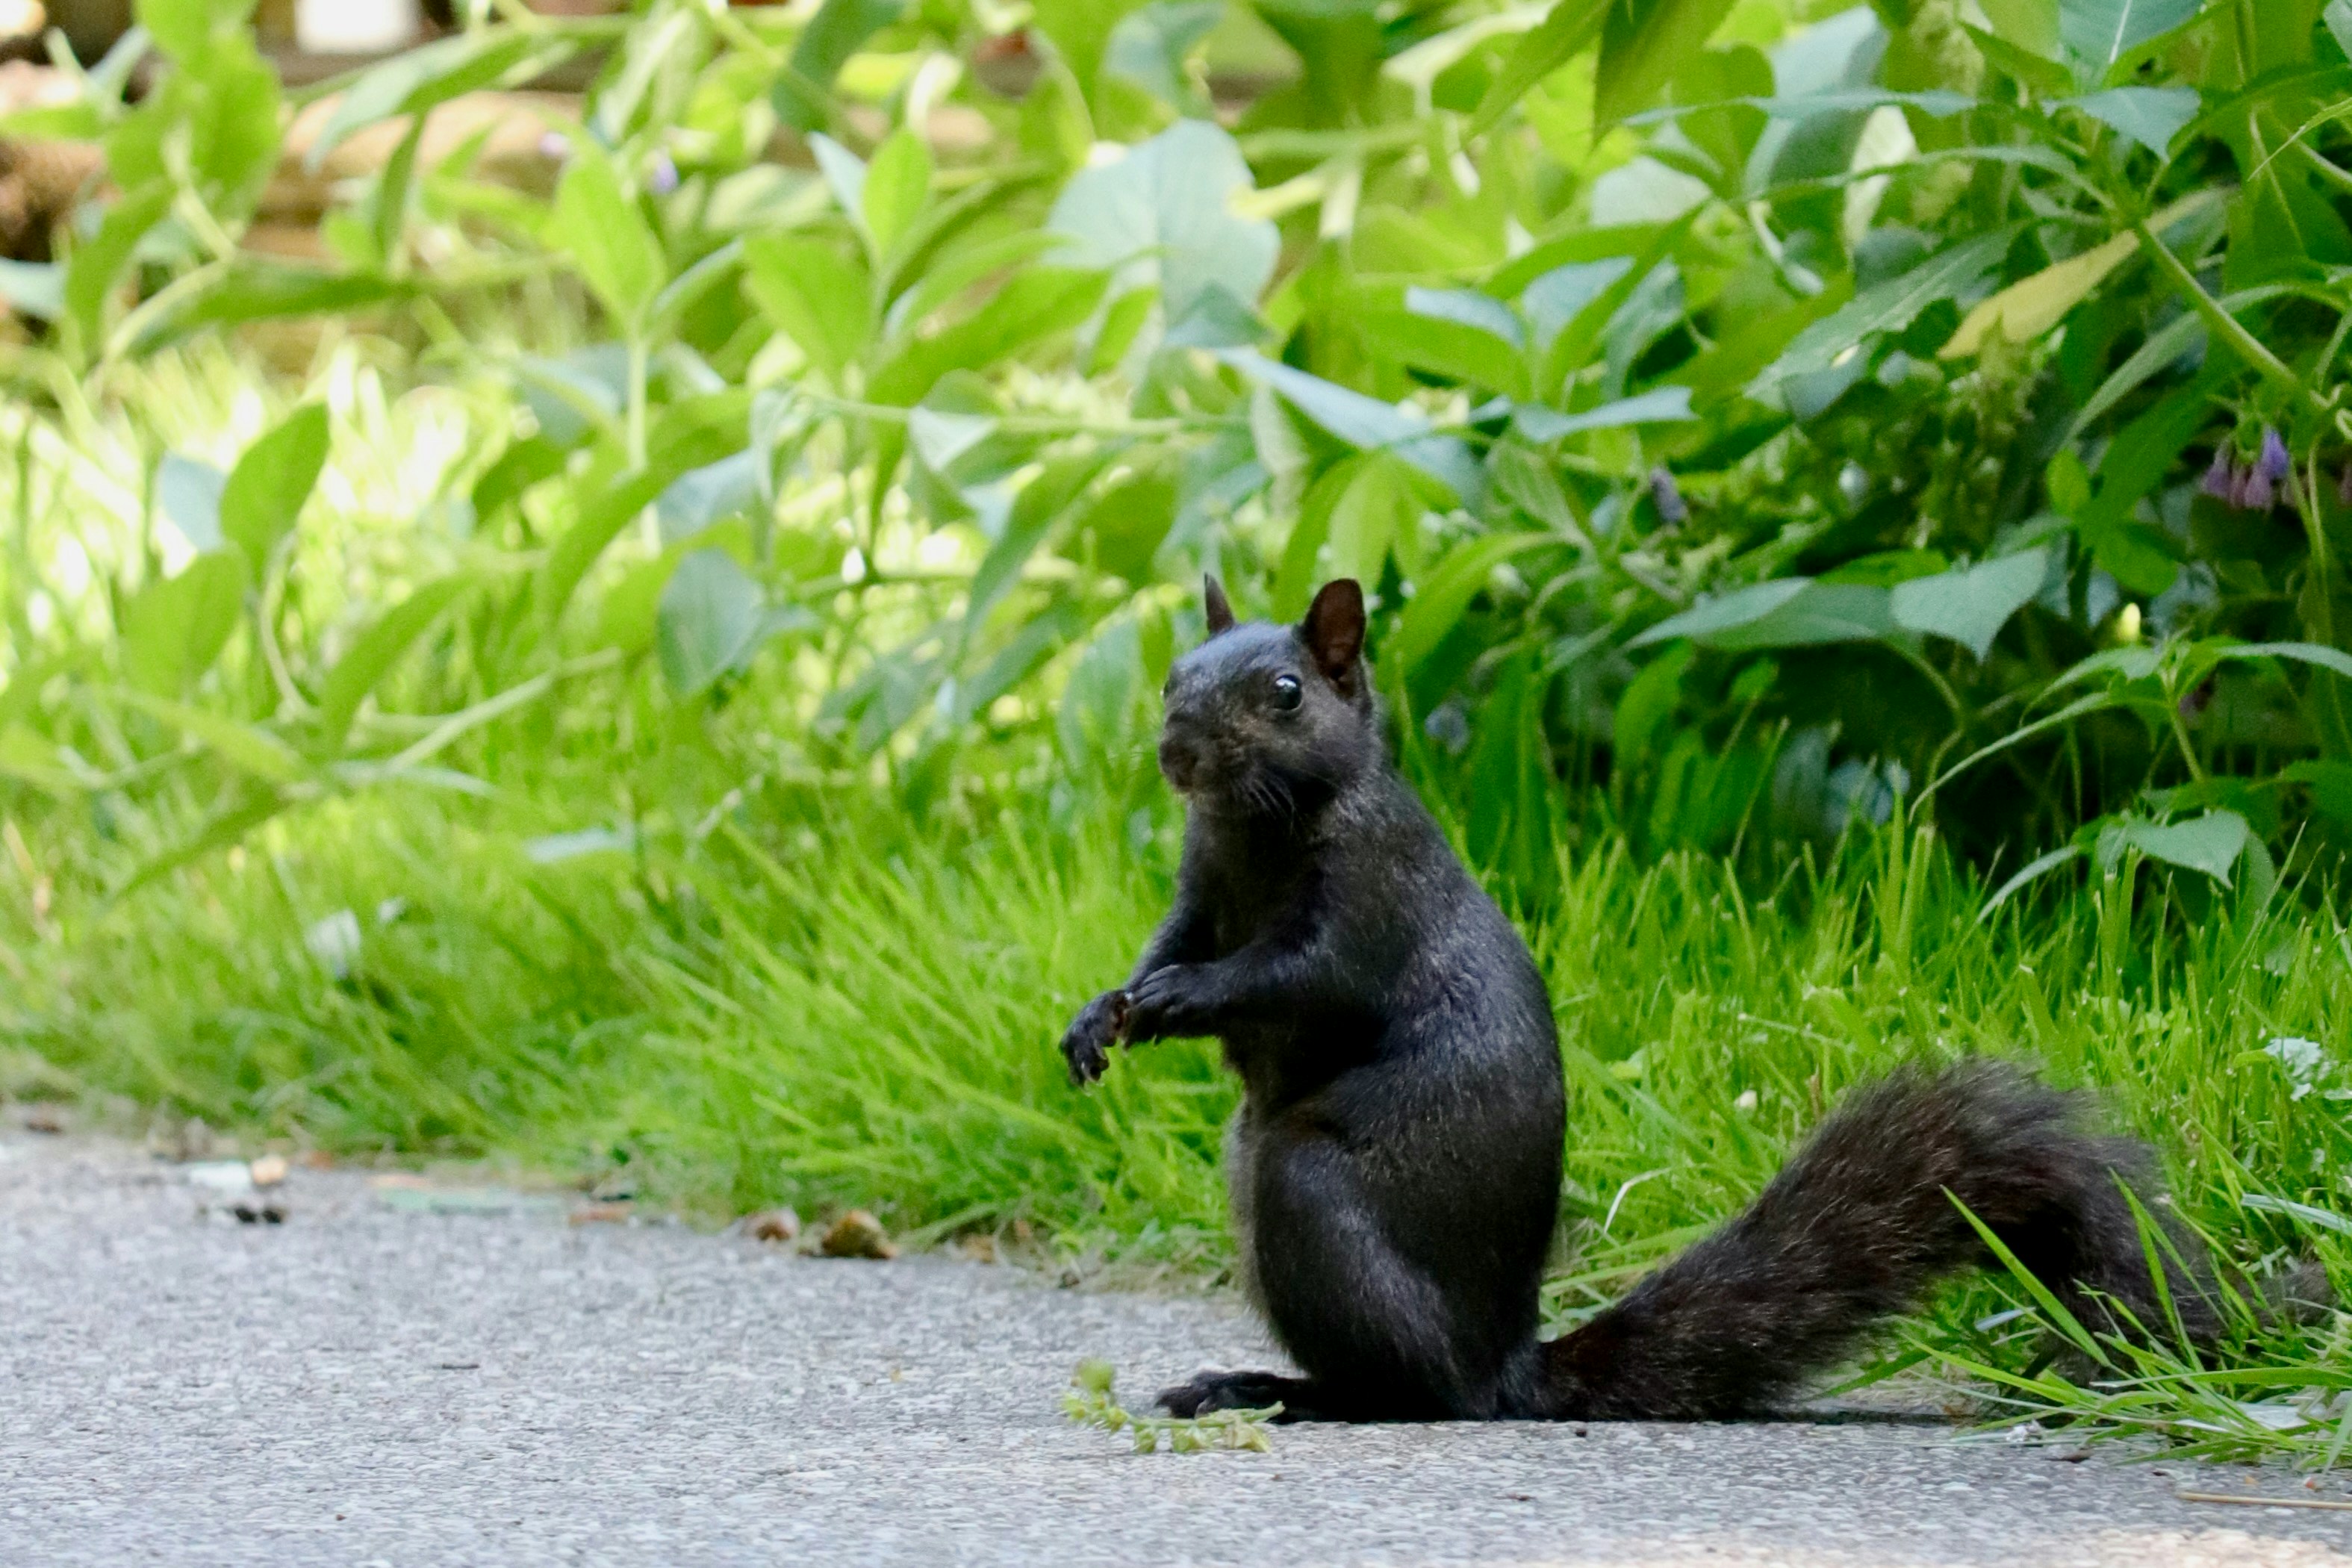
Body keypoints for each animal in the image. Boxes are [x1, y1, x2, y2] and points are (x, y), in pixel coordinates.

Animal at [1057, 575, 2218, 1423]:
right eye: (1172, 675)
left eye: (1288, 692)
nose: (1176, 752)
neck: (1256, 829)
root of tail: (1503, 1367)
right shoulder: (1200, 885)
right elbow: (1171, 940)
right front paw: (1102, 1012)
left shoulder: (1370, 897)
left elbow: (1298, 976)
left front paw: (1178, 999)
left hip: (1306, 1196)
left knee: (1412, 1394)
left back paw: (1291, 1394)